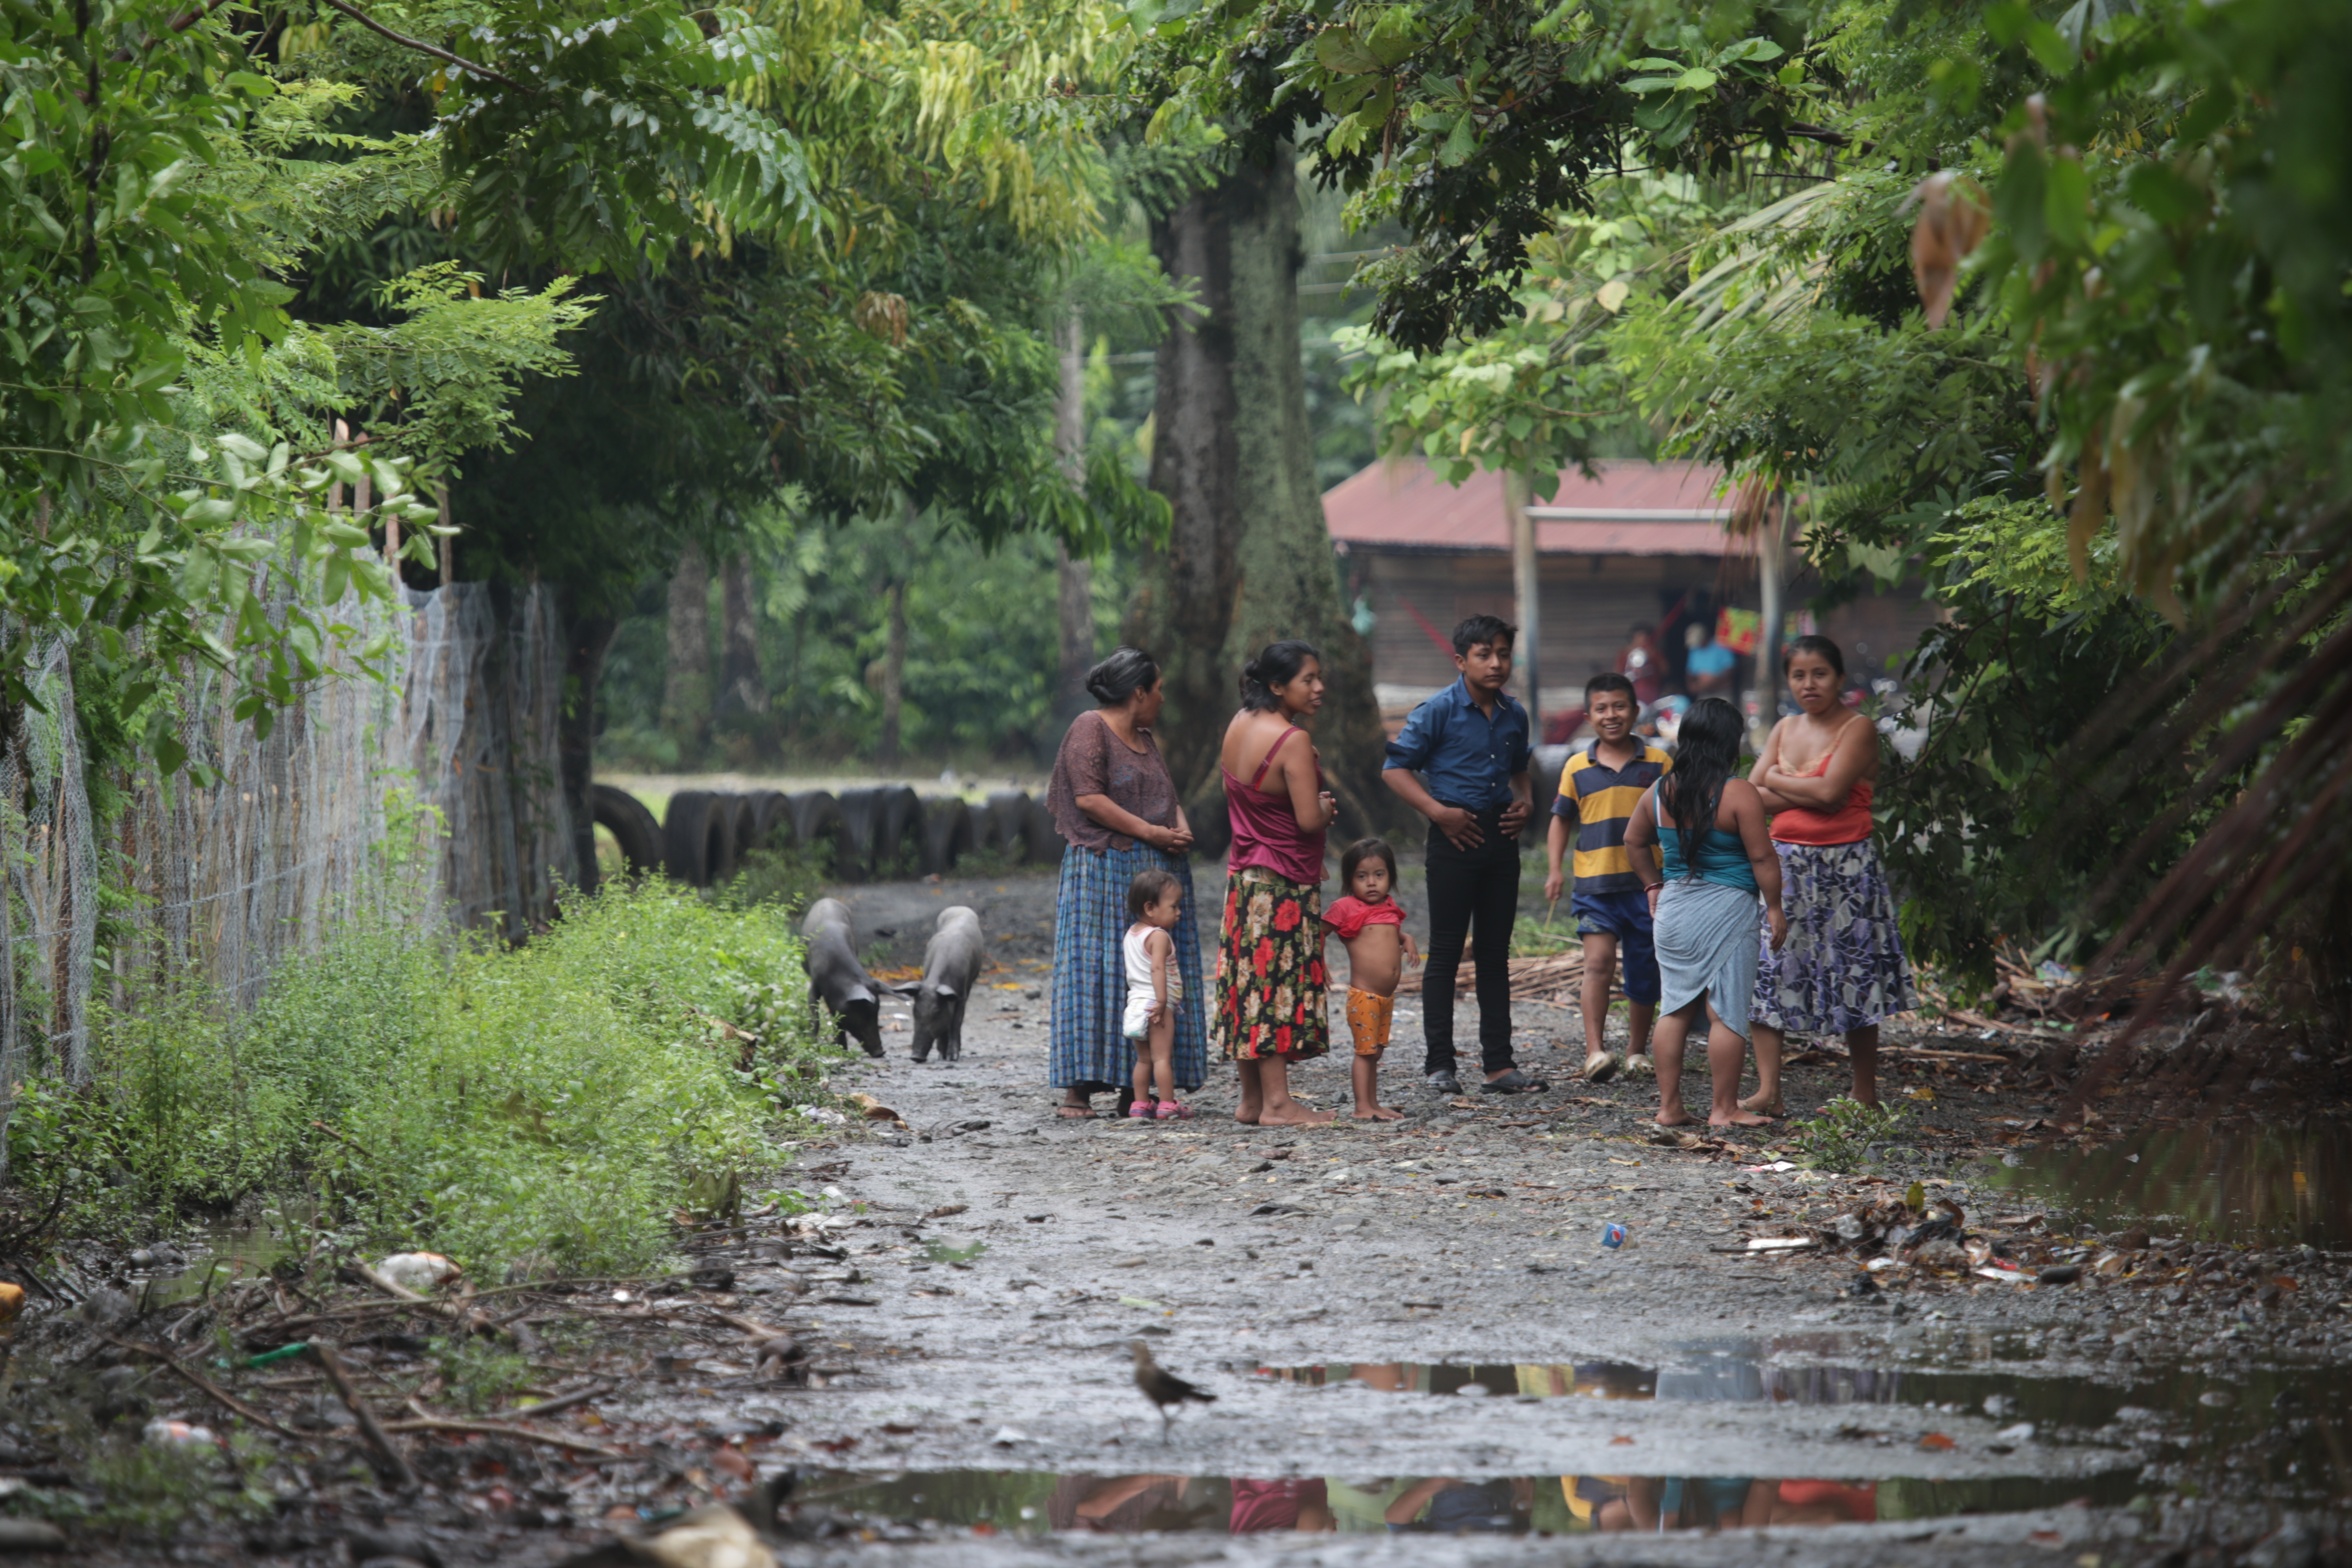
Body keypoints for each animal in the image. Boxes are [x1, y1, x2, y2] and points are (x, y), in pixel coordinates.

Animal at [804, 903, 884, 1063]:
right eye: (864, 1014)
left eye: (877, 1013)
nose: (881, 1053)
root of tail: (828, 899)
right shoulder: (815, 982)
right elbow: (814, 1014)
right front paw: (811, 1044)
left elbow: (838, 1021)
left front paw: (842, 1051)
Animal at [889, 907, 983, 1067]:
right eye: (915, 1011)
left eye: (937, 1011)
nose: (916, 1057)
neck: (934, 984)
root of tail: (960, 907)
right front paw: (941, 1057)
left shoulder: (961, 996)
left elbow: (955, 1023)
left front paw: (953, 1058)